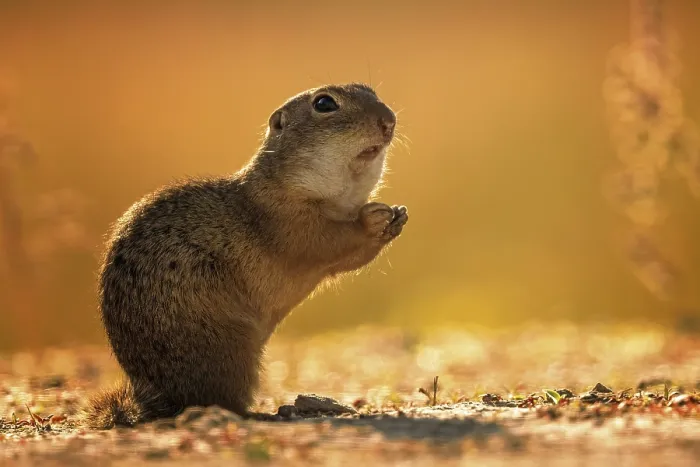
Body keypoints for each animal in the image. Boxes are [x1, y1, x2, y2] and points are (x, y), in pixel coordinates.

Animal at [83, 83, 408, 429]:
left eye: (370, 90)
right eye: (324, 104)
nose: (388, 121)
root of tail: (155, 399)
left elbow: (349, 258)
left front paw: (397, 217)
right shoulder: (289, 223)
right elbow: (327, 241)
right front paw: (373, 218)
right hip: (229, 344)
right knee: (221, 401)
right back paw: (261, 413)